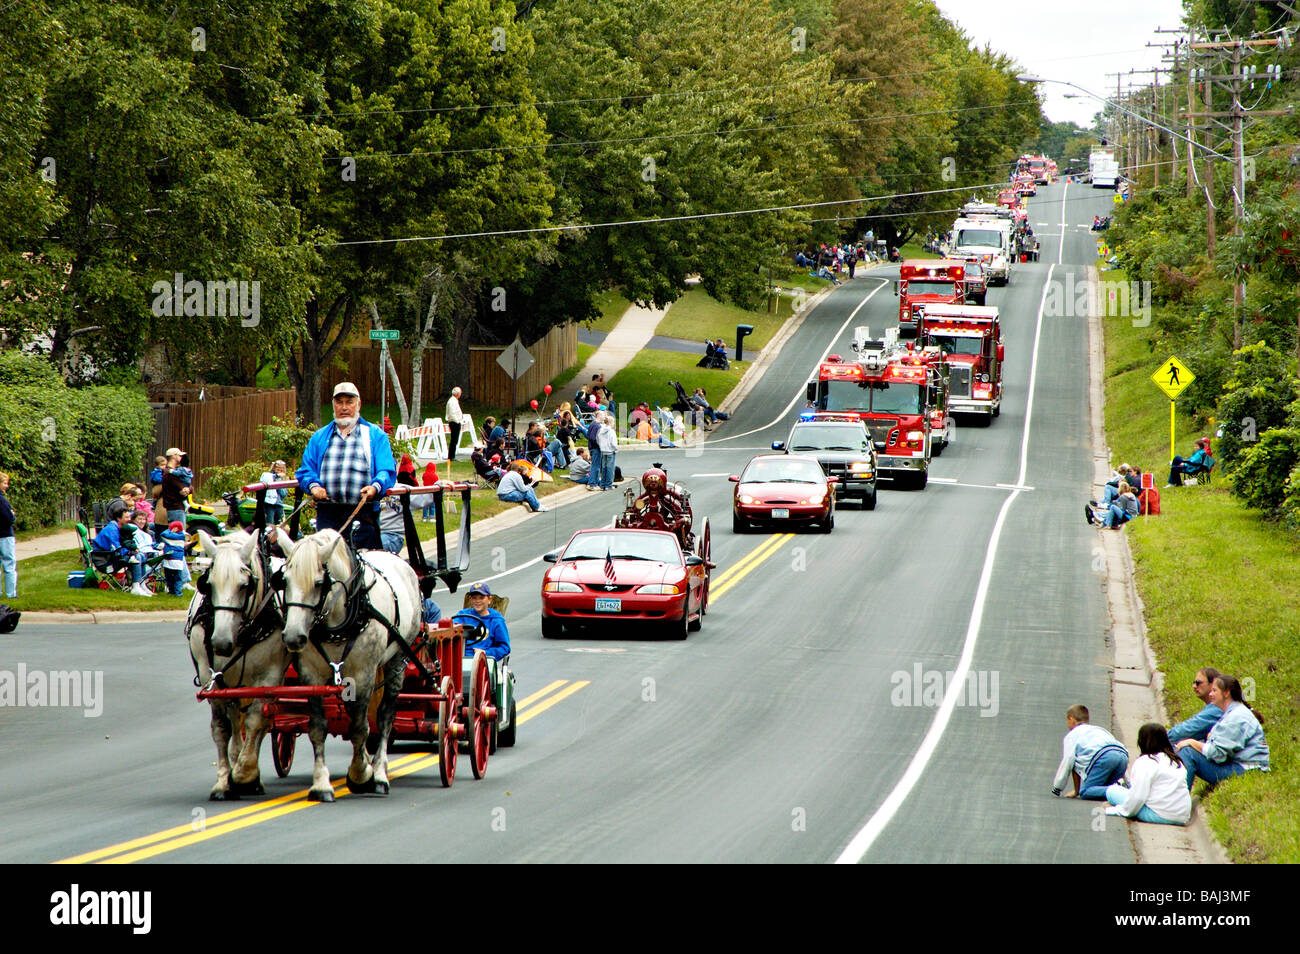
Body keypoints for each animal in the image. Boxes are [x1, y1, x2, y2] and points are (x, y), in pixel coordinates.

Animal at [189, 530, 291, 800]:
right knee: (236, 722)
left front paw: (245, 775)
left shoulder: (269, 678)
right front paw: (224, 782)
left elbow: (256, 722)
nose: (220, 642)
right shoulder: (211, 678)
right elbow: (221, 728)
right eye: (208, 584)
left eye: (244, 585)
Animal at [278, 527, 421, 805]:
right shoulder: (311, 676)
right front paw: (321, 784)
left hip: (397, 660)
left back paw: (379, 774)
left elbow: (360, 727)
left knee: (385, 716)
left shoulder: (363, 675)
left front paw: (361, 774)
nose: (293, 636)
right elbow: (318, 728)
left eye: (318, 583)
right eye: (284, 581)